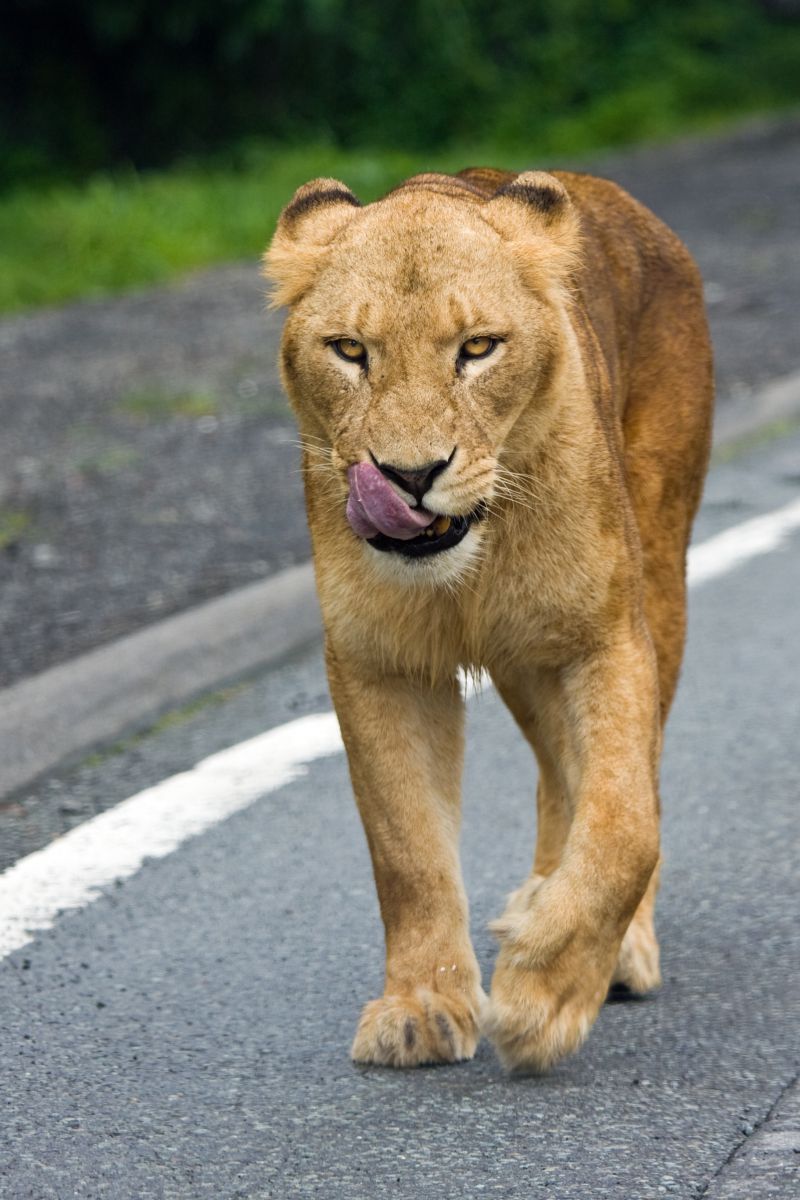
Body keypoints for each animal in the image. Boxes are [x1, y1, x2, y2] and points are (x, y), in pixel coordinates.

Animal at [262, 166, 714, 1070]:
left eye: (477, 349)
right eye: (350, 351)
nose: (409, 475)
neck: (469, 566)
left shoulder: (605, 635)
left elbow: (625, 821)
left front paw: (545, 994)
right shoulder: (377, 660)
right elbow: (407, 847)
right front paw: (422, 1006)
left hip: (657, 575)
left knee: (621, 779)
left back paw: (607, 947)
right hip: (525, 662)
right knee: (557, 776)